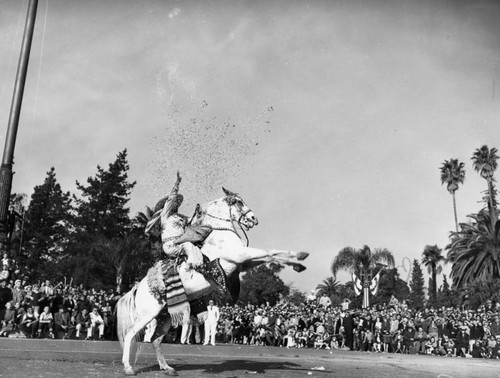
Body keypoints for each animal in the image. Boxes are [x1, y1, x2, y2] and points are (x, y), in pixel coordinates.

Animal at [116, 188, 308, 376]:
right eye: (238, 202)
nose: (253, 219)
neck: (220, 234)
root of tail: (137, 288)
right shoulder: (241, 255)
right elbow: (269, 252)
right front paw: (300, 257)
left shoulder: (243, 263)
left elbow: (269, 255)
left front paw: (298, 261)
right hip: (148, 315)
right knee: (130, 334)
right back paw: (128, 367)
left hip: (166, 317)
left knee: (155, 340)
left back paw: (167, 368)